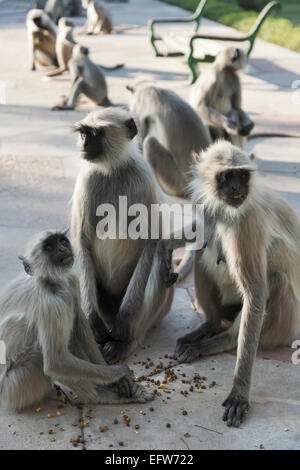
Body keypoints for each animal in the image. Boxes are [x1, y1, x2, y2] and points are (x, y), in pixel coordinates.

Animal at [0, 230, 155, 412]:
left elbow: (80, 325)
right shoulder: (48, 304)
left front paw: (121, 381)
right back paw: (99, 397)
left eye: (62, 241)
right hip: (14, 388)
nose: (62, 249)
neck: (51, 284)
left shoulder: (71, 282)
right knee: (43, 354)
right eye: (49, 246)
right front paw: (119, 373)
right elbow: (55, 363)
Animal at [71, 106, 175, 364]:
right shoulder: (87, 180)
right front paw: (93, 325)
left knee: (158, 263)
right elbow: (81, 243)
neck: (113, 170)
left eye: (95, 134)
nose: (84, 144)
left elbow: (150, 245)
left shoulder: (144, 180)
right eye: (84, 133)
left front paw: (122, 331)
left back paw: (124, 342)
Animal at [159, 140, 300, 426]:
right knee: (204, 245)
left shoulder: (248, 221)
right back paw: (209, 327)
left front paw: (239, 393)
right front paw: (167, 244)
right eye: (226, 177)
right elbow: (203, 226)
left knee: (273, 283)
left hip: (285, 326)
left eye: (242, 175)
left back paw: (219, 341)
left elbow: (255, 294)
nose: (237, 188)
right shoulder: (212, 205)